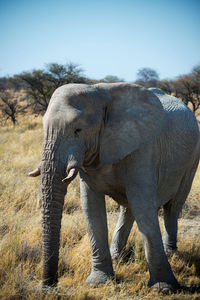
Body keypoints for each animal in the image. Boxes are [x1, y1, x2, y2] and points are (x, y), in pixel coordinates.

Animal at [29, 82, 200, 292]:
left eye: (78, 130)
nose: (50, 286)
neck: (101, 94)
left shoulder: (143, 148)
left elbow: (143, 204)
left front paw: (164, 288)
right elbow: (91, 206)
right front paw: (98, 282)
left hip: (192, 159)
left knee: (172, 206)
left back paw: (171, 253)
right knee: (129, 209)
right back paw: (117, 258)